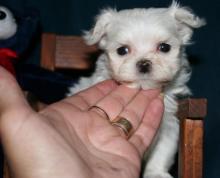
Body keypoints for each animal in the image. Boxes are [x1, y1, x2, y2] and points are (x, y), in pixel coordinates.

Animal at [68, 1, 205, 178]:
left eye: (164, 47)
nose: (144, 63)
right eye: (122, 50)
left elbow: (162, 152)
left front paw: (156, 173)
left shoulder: (168, 125)